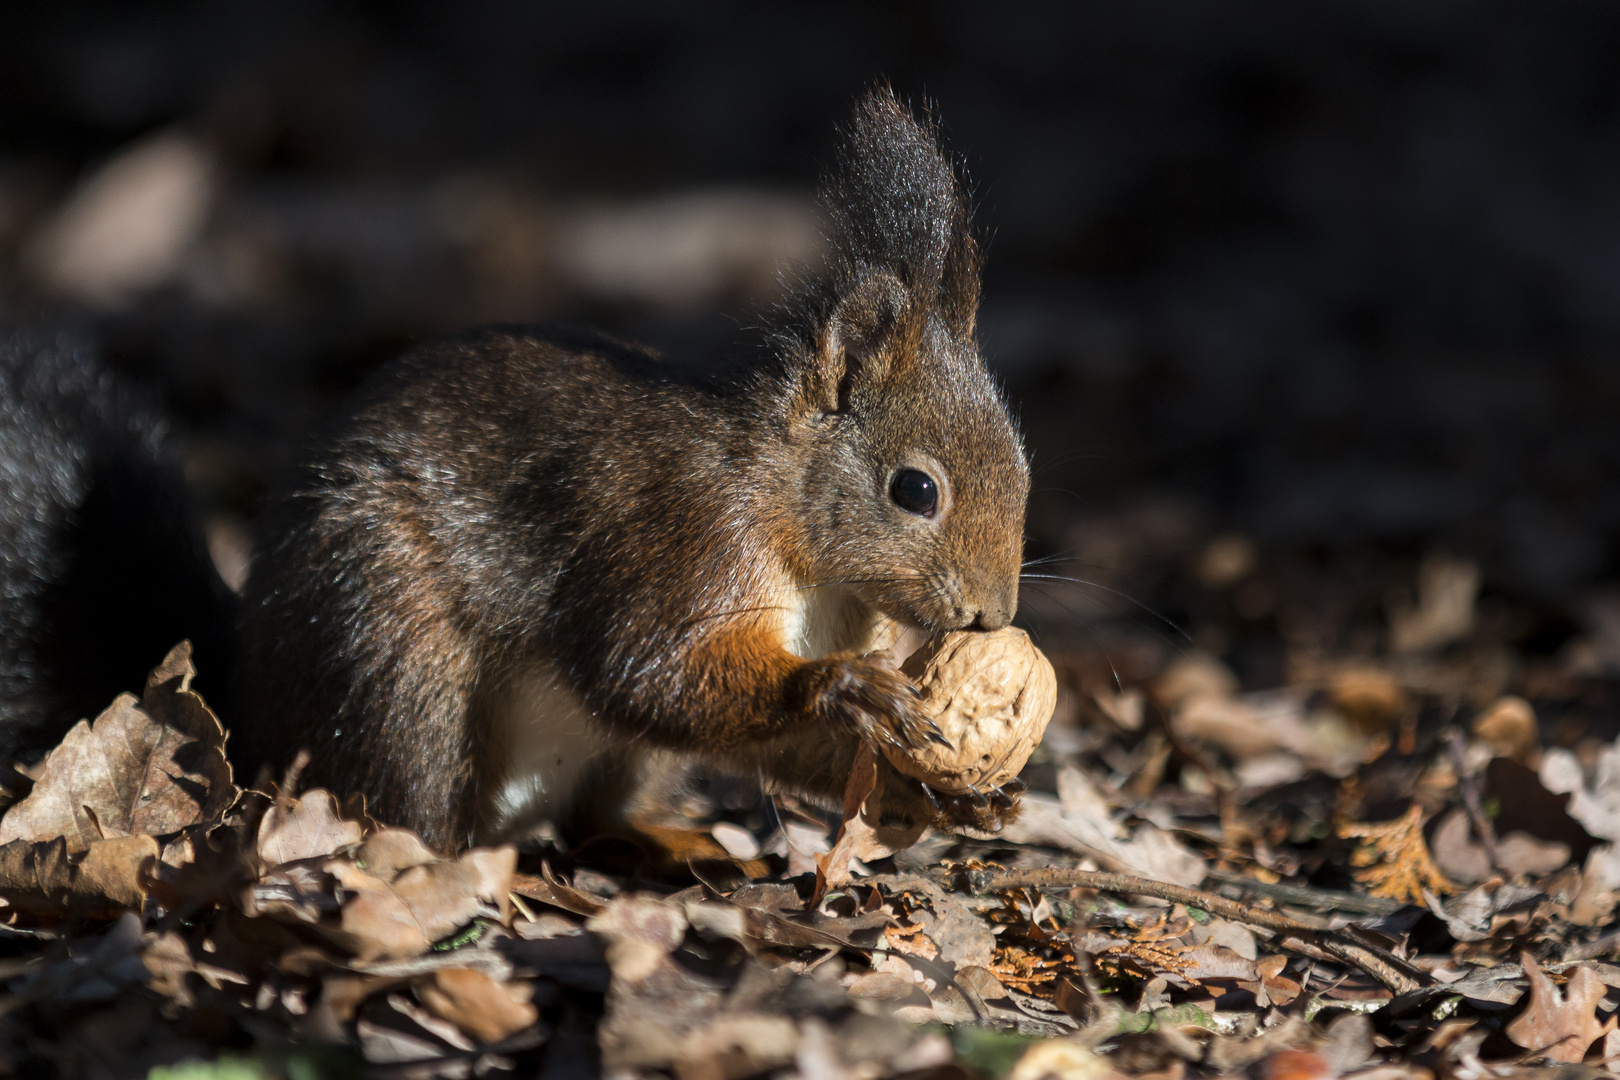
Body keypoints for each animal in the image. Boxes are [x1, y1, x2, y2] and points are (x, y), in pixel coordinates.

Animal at [236, 90, 1023, 854]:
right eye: (915, 490)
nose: (992, 617)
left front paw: (948, 795)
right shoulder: (687, 537)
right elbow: (645, 670)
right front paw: (841, 685)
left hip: (626, 760)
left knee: (593, 816)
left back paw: (673, 842)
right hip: (396, 658)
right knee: (409, 804)